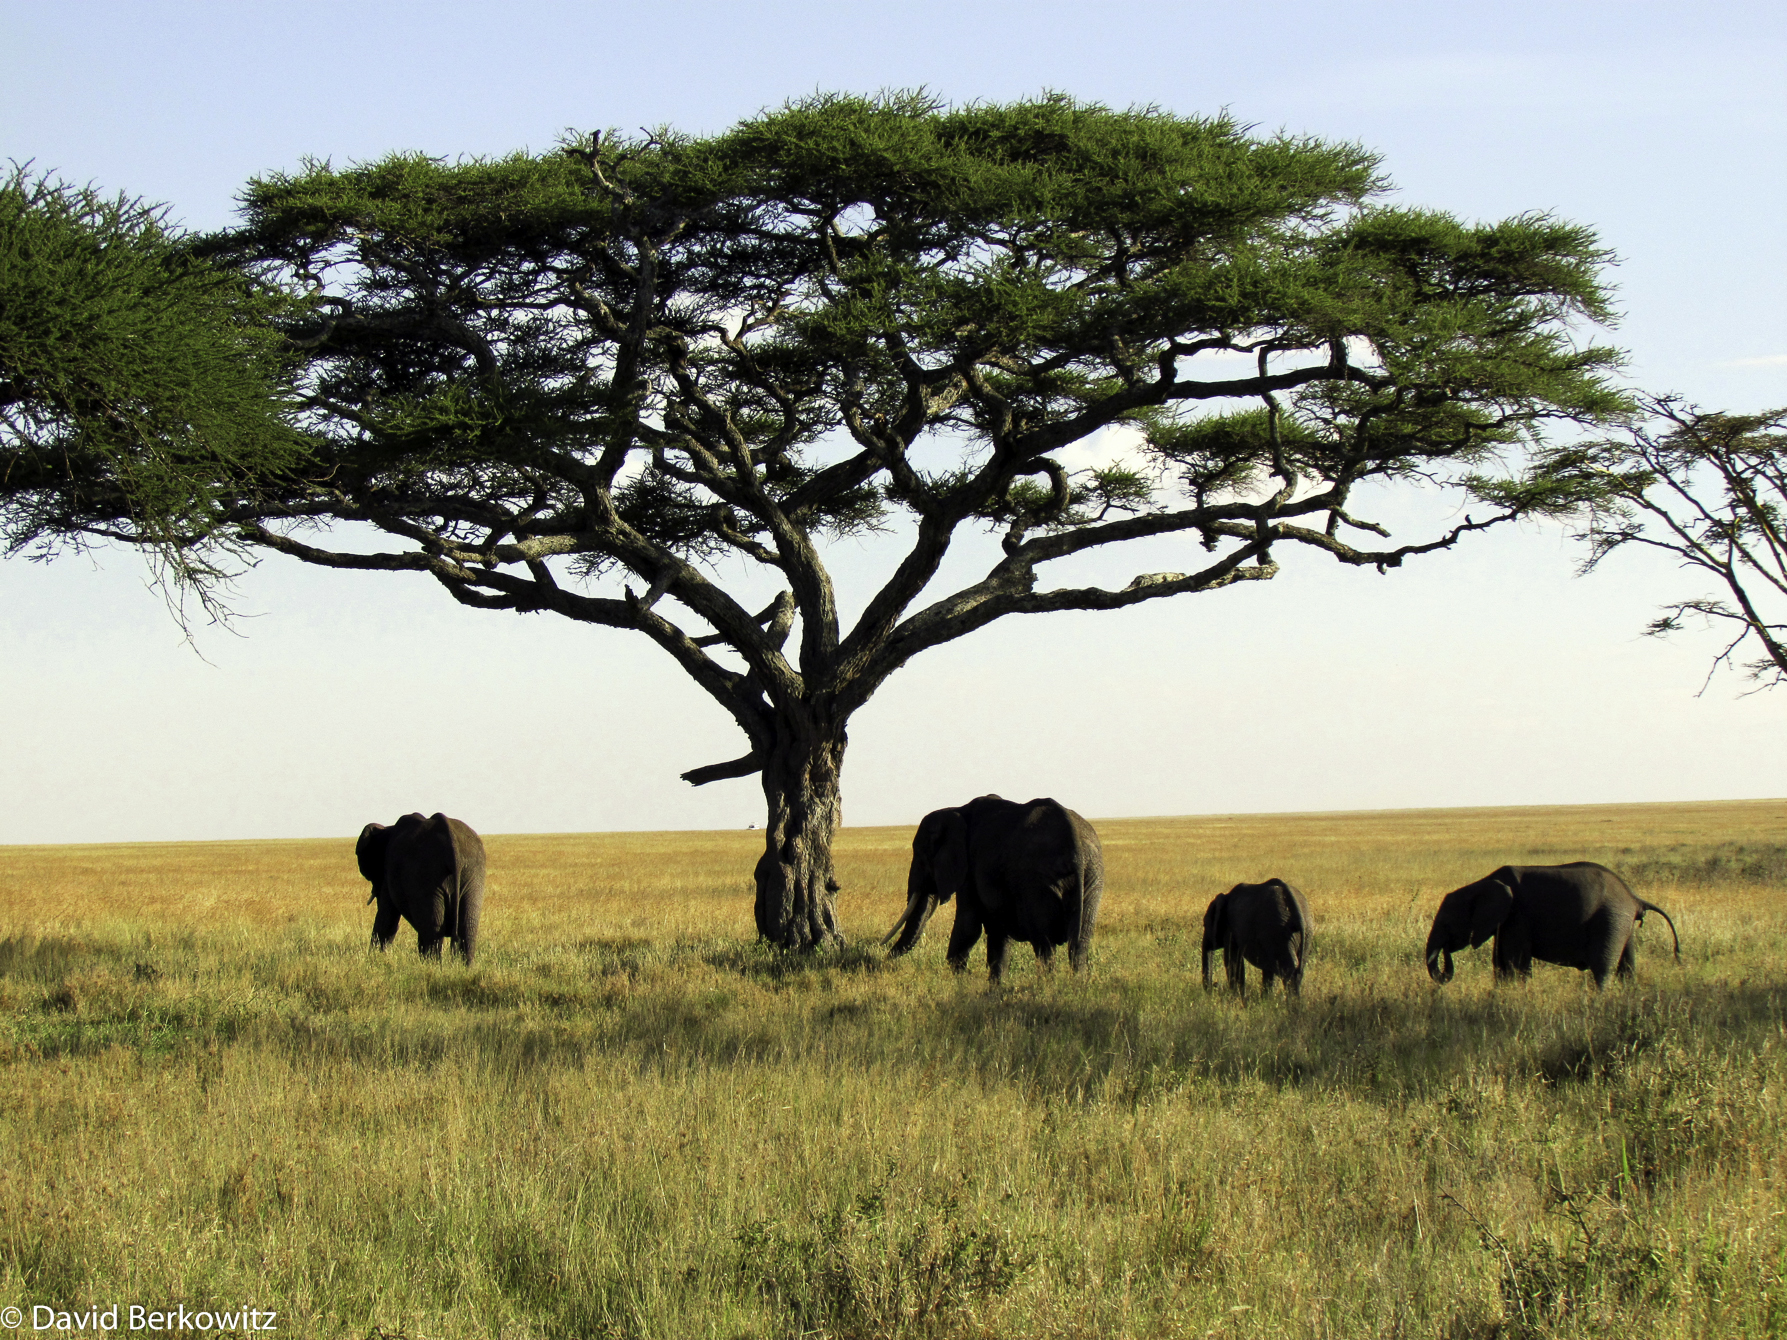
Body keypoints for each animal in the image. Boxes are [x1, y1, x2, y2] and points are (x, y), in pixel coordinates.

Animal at [357, 807, 489, 964]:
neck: (387, 829)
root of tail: (453, 846)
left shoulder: (388, 869)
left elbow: (386, 917)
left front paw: (372, 958)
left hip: (426, 875)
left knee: (433, 928)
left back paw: (431, 965)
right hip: (473, 874)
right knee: (467, 926)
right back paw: (462, 966)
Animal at [879, 796, 1100, 986]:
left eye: (921, 856)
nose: (882, 957)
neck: (957, 810)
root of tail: (1076, 842)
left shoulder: (970, 866)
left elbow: (969, 923)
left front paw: (961, 981)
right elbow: (998, 930)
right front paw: (993, 987)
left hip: (1038, 881)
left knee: (1044, 943)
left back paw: (1046, 989)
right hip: (1093, 877)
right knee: (1080, 942)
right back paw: (1077, 986)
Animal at [1422, 864, 1672, 993]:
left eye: (1446, 924)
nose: (1445, 952)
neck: (1480, 884)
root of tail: (1635, 898)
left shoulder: (1517, 915)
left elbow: (1515, 962)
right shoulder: (1505, 921)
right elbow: (1500, 962)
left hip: (1610, 918)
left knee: (1603, 967)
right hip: (1622, 922)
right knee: (1627, 965)